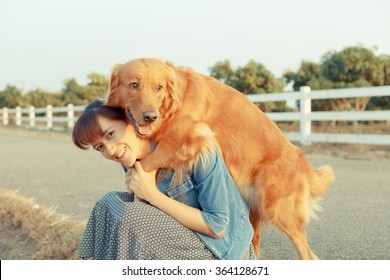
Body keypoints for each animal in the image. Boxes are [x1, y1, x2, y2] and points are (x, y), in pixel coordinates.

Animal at [106, 57, 336, 260]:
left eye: (158, 87)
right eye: (134, 84)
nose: (150, 117)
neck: (172, 108)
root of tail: (302, 161)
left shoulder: (188, 139)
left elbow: (142, 166)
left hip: (279, 210)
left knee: (308, 254)